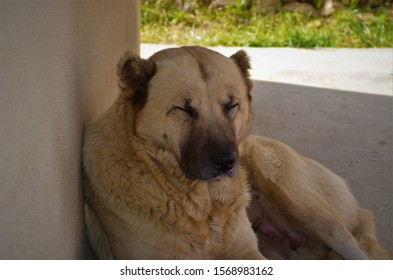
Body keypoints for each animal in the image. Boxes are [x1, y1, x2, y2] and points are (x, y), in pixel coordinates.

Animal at [81, 46, 388, 260]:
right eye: (184, 109)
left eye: (231, 105)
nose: (228, 163)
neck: (200, 207)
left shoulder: (248, 253)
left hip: (303, 204)